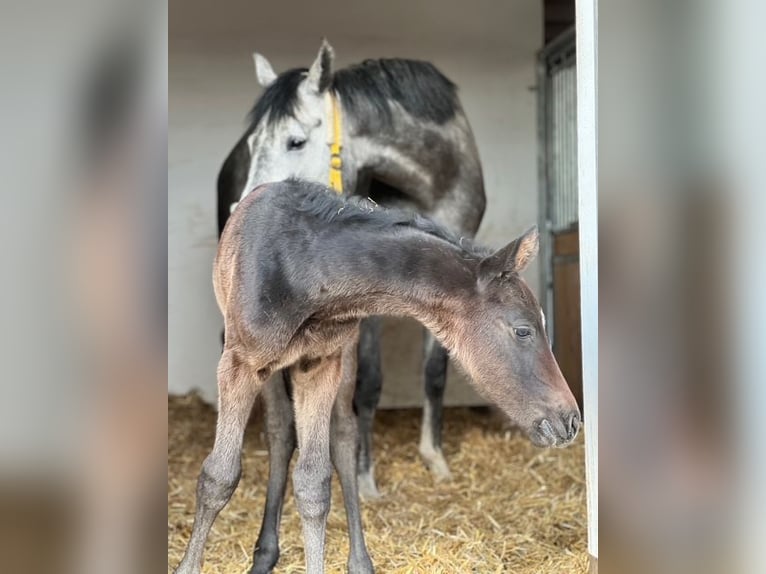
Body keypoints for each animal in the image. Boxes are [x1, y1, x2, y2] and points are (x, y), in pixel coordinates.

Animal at [175, 179, 580, 574]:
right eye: (523, 330)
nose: (571, 421)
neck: (304, 266)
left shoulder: (320, 364)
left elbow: (313, 482)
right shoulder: (239, 363)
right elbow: (219, 475)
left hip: (344, 359)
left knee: (342, 435)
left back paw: (357, 562)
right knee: (279, 432)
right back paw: (264, 556)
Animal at [216, 40, 487, 499]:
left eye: (295, 141)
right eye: (254, 144)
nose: (246, 212)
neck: (431, 181)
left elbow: (435, 372)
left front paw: (435, 458)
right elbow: (370, 381)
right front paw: (364, 479)